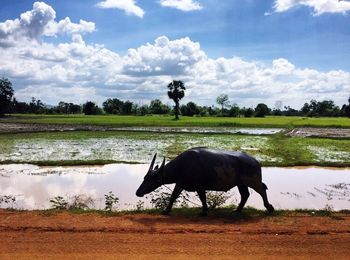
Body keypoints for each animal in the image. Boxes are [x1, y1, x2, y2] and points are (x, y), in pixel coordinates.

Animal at [135, 148, 274, 215]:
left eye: (151, 179)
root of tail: (255, 161)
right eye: (144, 178)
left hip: (253, 181)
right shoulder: (180, 184)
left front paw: (204, 212)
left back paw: (269, 208)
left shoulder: (199, 186)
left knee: (261, 190)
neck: (182, 166)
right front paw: (166, 211)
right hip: (241, 184)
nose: (138, 192)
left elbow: (202, 198)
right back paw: (237, 210)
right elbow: (173, 196)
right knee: (245, 195)